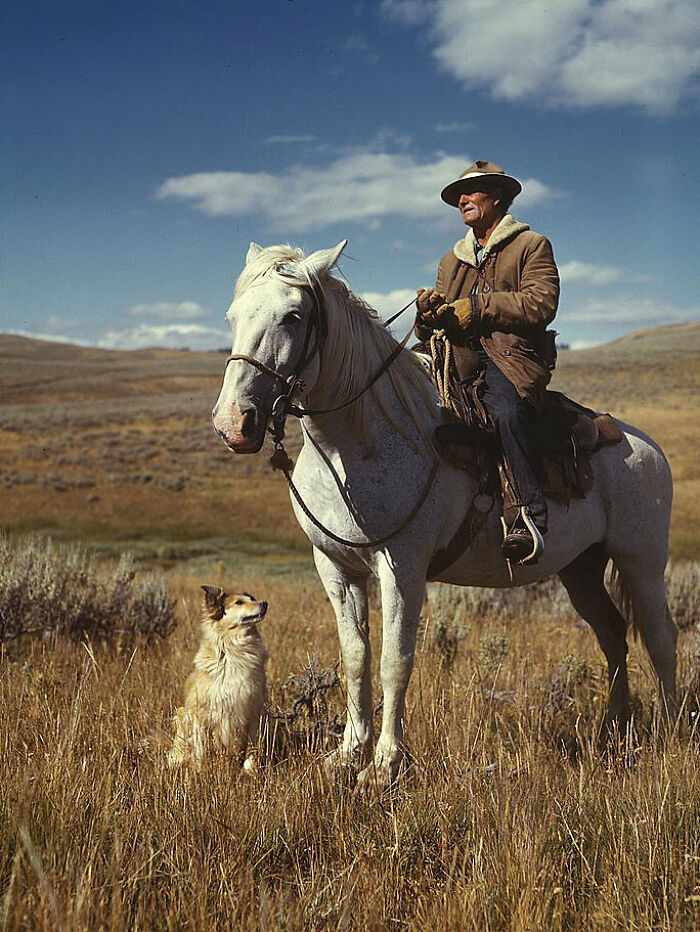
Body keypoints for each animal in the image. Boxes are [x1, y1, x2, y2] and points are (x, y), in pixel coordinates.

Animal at [169, 584, 268, 772]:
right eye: (239, 602)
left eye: (252, 598)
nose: (264, 603)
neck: (234, 650)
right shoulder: (201, 713)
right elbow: (200, 750)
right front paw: (199, 773)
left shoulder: (253, 709)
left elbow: (252, 749)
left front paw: (250, 771)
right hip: (182, 714)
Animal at [212, 238, 680, 788]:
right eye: (231, 316)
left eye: (292, 315)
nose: (234, 423)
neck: (360, 439)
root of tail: (645, 445)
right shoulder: (335, 567)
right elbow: (355, 658)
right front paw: (347, 754)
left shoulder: (403, 567)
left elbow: (395, 660)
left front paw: (384, 764)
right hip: (580, 568)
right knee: (612, 636)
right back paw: (613, 730)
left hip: (641, 561)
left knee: (660, 638)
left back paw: (668, 732)